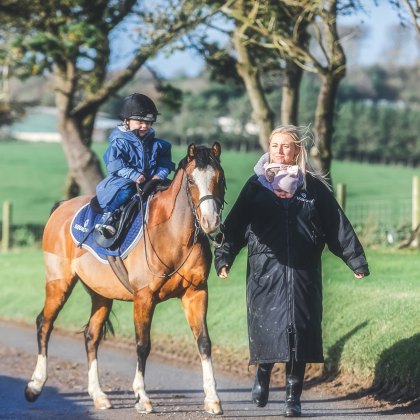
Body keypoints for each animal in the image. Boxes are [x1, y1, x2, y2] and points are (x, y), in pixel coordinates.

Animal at [24, 143, 225, 416]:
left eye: (219, 178)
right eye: (192, 180)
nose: (210, 222)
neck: (172, 235)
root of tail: (63, 207)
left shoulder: (196, 293)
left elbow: (204, 342)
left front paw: (212, 399)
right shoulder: (144, 298)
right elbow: (142, 345)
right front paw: (142, 397)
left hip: (101, 295)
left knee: (91, 337)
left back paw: (98, 395)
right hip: (59, 283)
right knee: (44, 324)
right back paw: (35, 385)